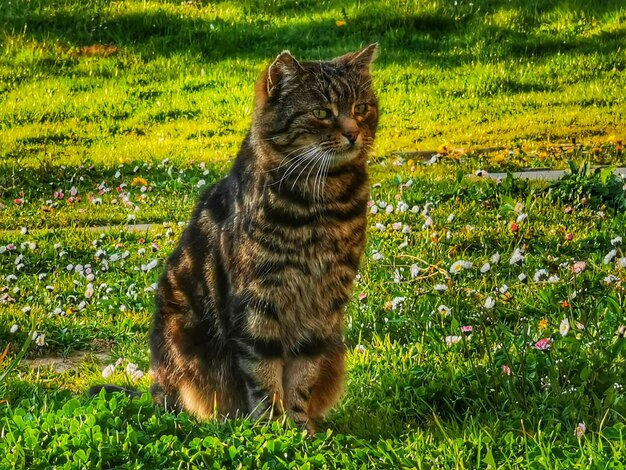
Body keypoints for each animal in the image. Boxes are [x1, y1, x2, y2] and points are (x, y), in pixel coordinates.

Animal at [149, 44, 378, 434]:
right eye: (321, 112)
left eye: (361, 108)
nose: (353, 133)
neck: (321, 203)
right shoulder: (259, 299)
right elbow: (262, 372)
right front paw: (272, 429)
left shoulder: (324, 303)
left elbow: (302, 374)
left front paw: (300, 428)